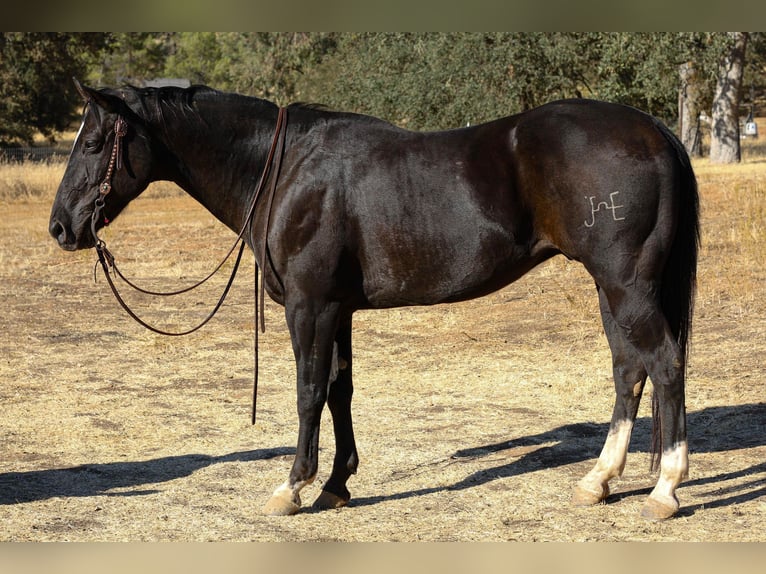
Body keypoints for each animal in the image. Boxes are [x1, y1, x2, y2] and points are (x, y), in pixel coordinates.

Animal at [48, 82, 700, 520]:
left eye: (97, 140)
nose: (60, 227)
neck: (285, 169)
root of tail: (654, 131)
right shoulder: (338, 311)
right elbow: (340, 391)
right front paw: (336, 485)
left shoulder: (309, 307)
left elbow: (309, 391)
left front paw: (293, 487)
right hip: (611, 289)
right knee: (629, 371)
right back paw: (599, 480)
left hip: (625, 285)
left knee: (665, 364)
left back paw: (666, 488)